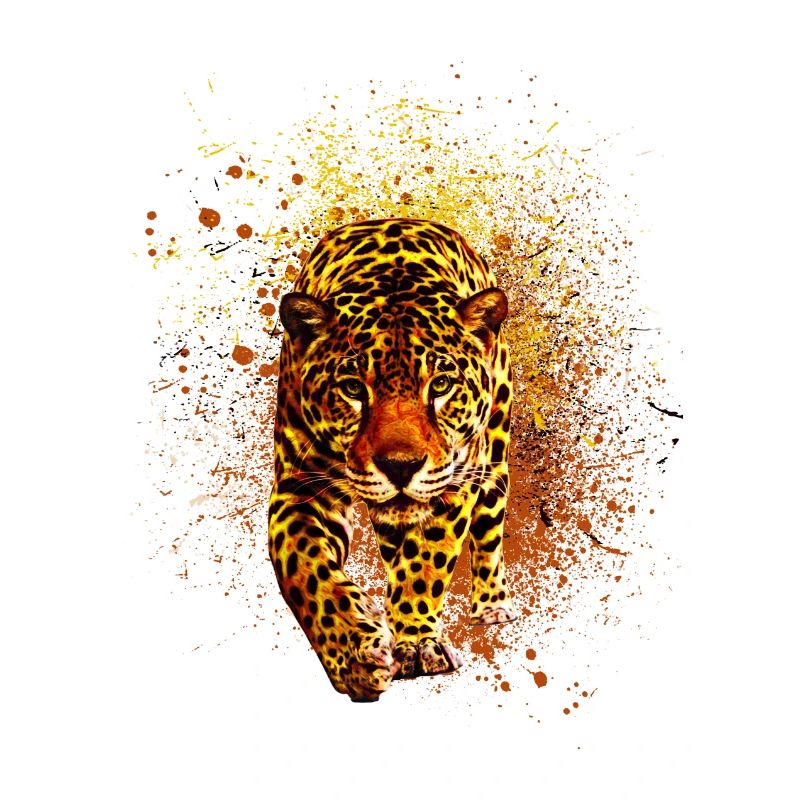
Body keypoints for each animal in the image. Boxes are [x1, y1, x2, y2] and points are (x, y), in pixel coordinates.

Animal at [268, 218, 516, 702]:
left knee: (488, 535)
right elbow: (304, 571)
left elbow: (426, 562)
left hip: (492, 461)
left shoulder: (453, 484)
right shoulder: (299, 487)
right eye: (352, 388)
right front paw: (354, 654)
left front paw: (417, 643)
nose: (401, 466)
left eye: (441, 385)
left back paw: (491, 605)